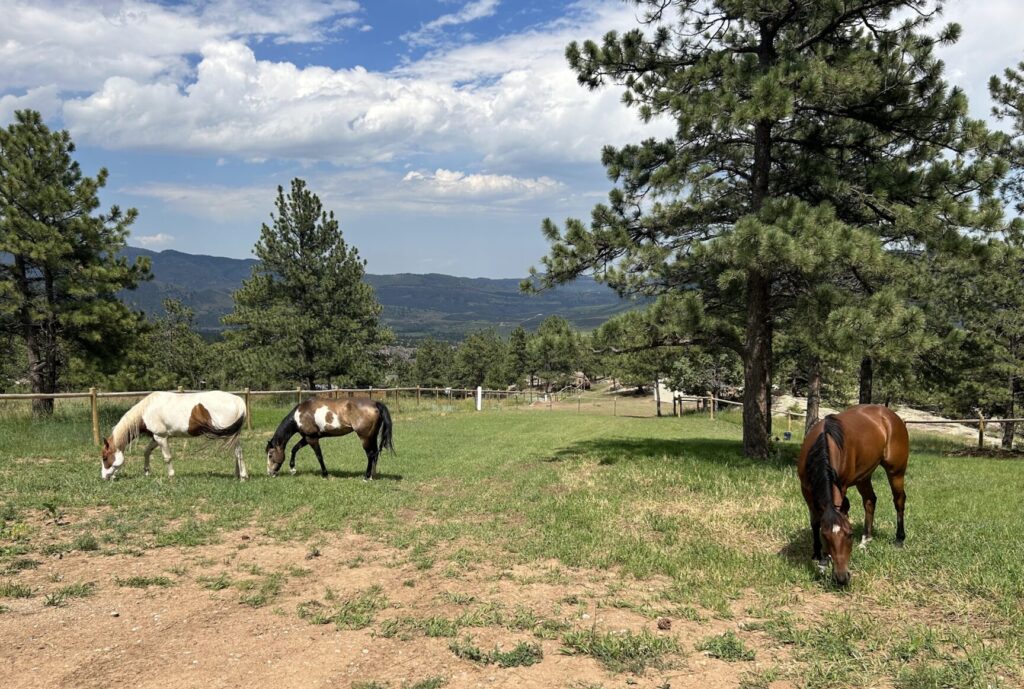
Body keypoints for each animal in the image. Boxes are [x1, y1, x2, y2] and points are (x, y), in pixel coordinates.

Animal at [100, 391, 248, 481]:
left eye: (105, 457)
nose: (105, 477)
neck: (146, 410)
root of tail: (238, 400)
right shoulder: (155, 437)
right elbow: (146, 452)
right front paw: (147, 472)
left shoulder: (161, 437)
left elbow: (167, 458)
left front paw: (171, 476)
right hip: (232, 436)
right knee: (237, 453)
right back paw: (237, 475)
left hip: (229, 435)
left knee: (238, 452)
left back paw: (243, 476)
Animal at [266, 396, 394, 479]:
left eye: (270, 455)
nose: (270, 473)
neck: (300, 415)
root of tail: (375, 403)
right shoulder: (307, 437)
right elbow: (294, 449)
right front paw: (293, 469)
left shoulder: (312, 439)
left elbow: (319, 456)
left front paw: (325, 474)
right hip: (372, 436)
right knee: (375, 453)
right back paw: (373, 475)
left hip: (365, 437)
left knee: (370, 454)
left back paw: (366, 477)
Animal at [797, 404, 909, 586]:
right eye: (824, 536)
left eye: (849, 535)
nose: (842, 578)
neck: (826, 441)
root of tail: (890, 415)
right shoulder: (806, 490)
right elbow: (815, 522)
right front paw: (818, 556)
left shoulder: (841, 487)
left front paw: (824, 561)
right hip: (864, 476)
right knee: (870, 501)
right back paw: (866, 540)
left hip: (896, 472)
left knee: (899, 501)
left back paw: (899, 539)